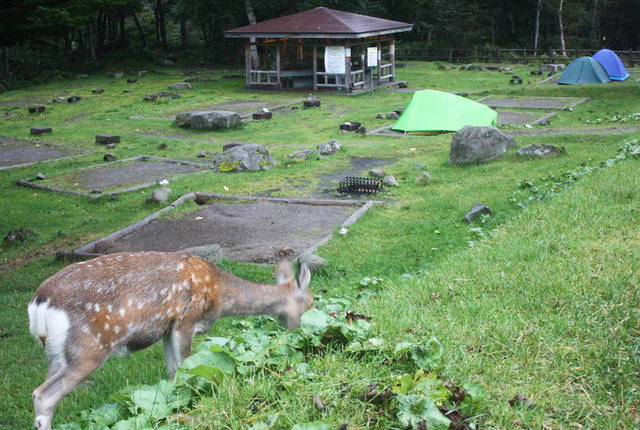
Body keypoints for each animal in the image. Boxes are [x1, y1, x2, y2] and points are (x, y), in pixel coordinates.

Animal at [28, 250, 314, 428]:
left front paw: (174, 406)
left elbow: (173, 372)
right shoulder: (186, 320)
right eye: (310, 302)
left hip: (56, 354)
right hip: (88, 348)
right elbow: (187, 365)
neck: (217, 296)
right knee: (43, 394)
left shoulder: (166, 329)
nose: (299, 330)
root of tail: (38, 305)